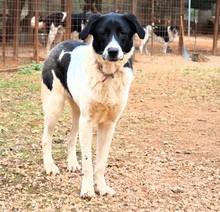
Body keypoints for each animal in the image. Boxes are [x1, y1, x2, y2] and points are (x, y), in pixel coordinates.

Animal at [40, 12, 144, 199]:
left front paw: (101, 187)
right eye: (103, 33)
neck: (108, 74)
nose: (112, 51)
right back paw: (50, 166)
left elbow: (101, 162)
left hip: (77, 113)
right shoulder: (87, 122)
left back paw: (72, 163)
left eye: (122, 33)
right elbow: (88, 162)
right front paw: (87, 189)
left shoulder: (108, 124)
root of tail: (59, 45)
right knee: (46, 138)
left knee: (70, 138)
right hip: (54, 107)